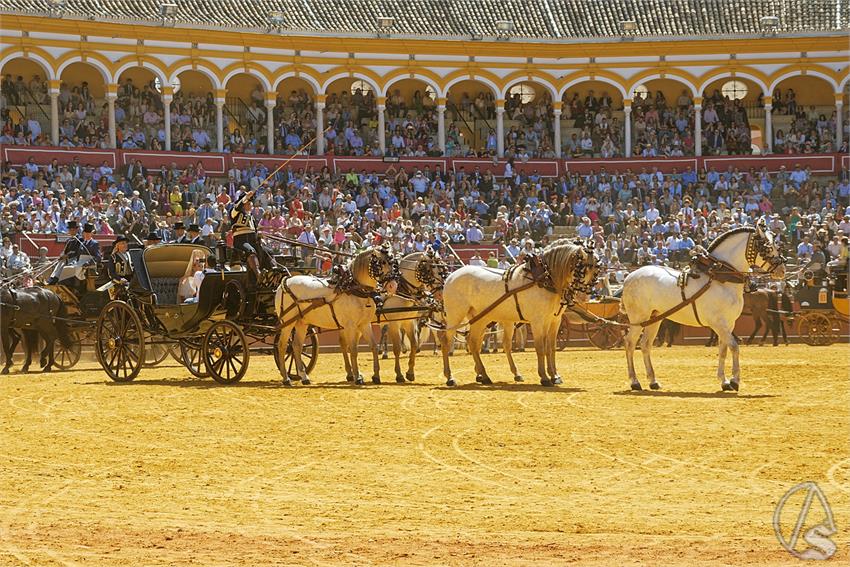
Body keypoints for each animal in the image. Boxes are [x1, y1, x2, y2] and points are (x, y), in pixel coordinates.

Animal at [274, 246, 400, 388]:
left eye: (393, 262)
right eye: (382, 263)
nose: (393, 285)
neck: (354, 288)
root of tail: (285, 282)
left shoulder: (364, 324)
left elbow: (373, 346)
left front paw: (376, 376)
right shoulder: (350, 326)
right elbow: (353, 349)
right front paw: (358, 377)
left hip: (301, 323)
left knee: (296, 346)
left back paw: (304, 377)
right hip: (287, 323)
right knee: (282, 346)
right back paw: (286, 379)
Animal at [380, 251, 448, 384]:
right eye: (432, 268)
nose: (441, 293)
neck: (401, 289)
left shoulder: (408, 322)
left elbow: (414, 344)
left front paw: (410, 373)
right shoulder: (394, 323)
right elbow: (396, 348)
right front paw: (399, 375)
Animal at [438, 240, 596, 386]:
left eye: (595, 268)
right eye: (582, 267)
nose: (584, 296)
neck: (545, 280)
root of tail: (451, 276)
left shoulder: (554, 321)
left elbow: (551, 348)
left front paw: (555, 376)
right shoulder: (538, 322)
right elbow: (541, 348)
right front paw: (544, 377)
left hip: (480, 319)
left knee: (473, 342)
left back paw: (485, 376)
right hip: (455, 316)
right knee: (446, 341)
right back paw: (450, 377)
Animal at [620, 220, 784, 392]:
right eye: (766, 247)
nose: (782, 269)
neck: (721, 278)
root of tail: (630, 276)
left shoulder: (728, 324)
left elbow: (723, 349)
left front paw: (724, 381)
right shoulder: (718, 323)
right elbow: (734, 346)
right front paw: (734, 380)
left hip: (654, 318)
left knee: (645, 345)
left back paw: (653, 381)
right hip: (638, 319)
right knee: (630, 343)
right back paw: (635, 381)